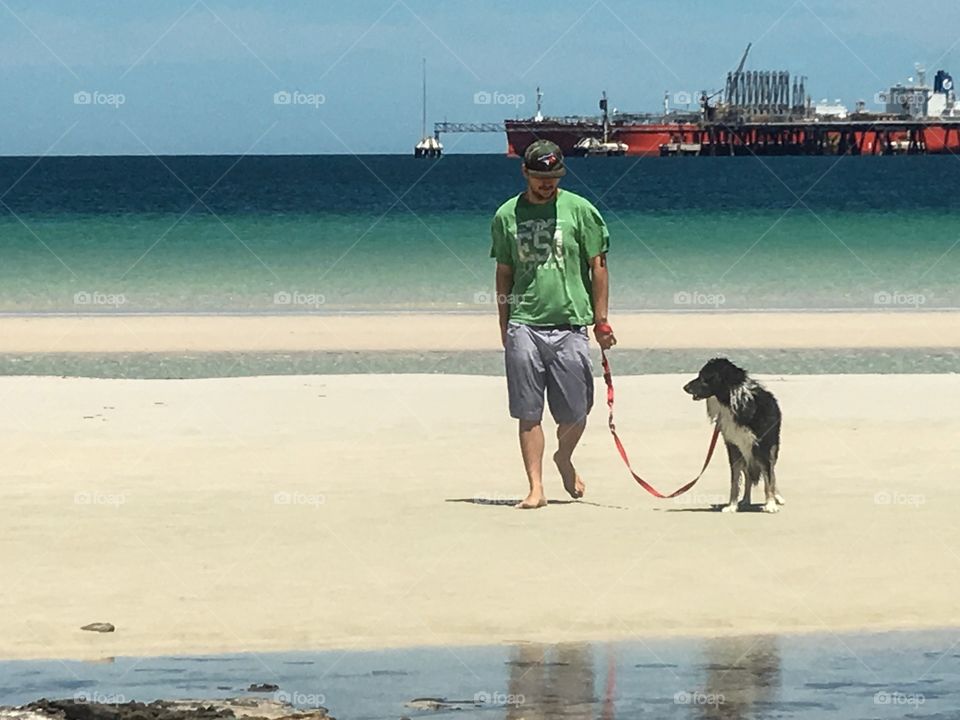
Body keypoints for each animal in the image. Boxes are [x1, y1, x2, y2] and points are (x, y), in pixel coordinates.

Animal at [680, 358, 784, 512]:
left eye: (703, 377)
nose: (685, 387)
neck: (733, 402)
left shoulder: (763, 446)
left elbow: (768, 478)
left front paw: (770, 504)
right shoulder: (734, 447)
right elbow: (735, 480)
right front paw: (732, 506)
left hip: (770, 449)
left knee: (771, 472)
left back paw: (777, 498)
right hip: (746, 452)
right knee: (748, 475)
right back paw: (745, 500)